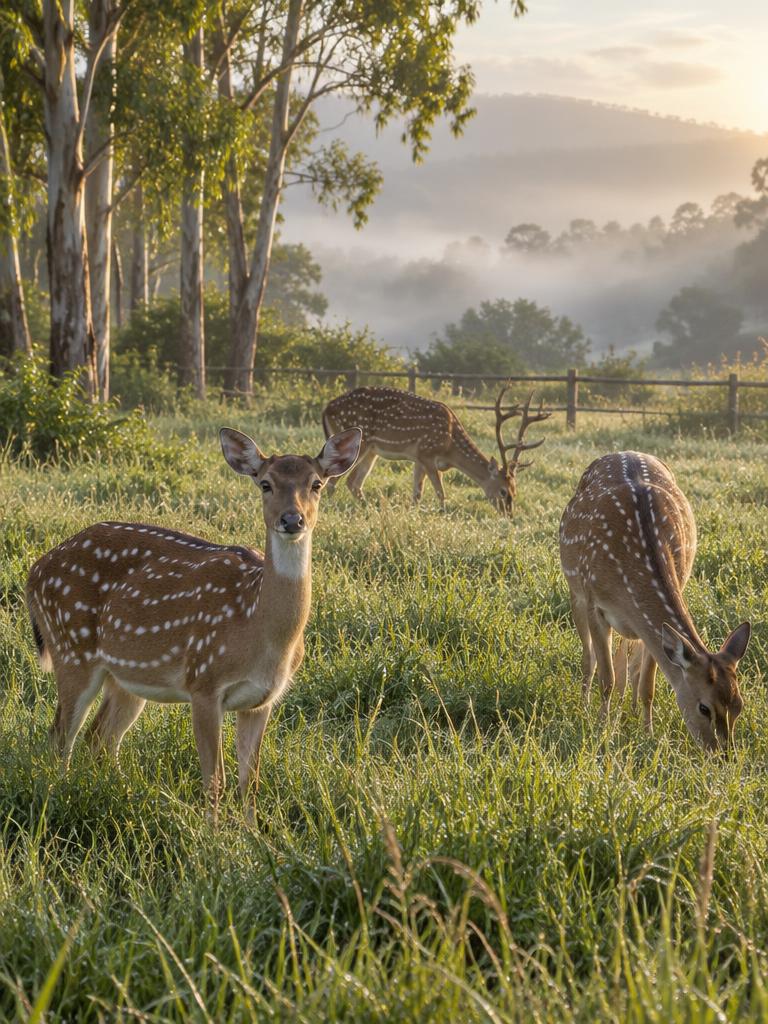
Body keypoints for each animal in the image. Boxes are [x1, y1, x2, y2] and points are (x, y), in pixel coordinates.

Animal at [25, 426, 362, 815]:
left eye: (316, 483)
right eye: (265, 483)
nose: (292, 520)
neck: (260, 630)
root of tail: (34, 572)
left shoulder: (262, 700)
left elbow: (250, 783)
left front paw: (250, 830)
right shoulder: (203, 681)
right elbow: (215, 781)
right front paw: (212, 830)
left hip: (125, 676)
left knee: (100, 738)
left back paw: (125, 794)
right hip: (71, 647)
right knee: (60, 737)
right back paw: (59, 796)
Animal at [321, 385, 551, 514]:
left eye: (515, 490)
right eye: (503, 491)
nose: (509, 515)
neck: (450, 447)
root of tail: (326, 409)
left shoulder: (418, 459)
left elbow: (417, 492)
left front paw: (412, 514)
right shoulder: (427, 453)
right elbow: (440, 492)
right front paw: (443, 513)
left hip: (372, 451)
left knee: (353, 483)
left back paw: (369, 509)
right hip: (360, 443)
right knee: (333, 482)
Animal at [559, 451, 750, 752]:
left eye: (739, 705)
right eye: (704, 708)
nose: (722, 754)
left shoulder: (654, 629)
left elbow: (647, 685)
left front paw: (646, 733)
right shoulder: (594, 603)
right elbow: (606, 678)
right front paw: (600, 729)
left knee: (628, 661)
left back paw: (627, 708)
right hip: (574, 589)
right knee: (589, 659)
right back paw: (587, 706)